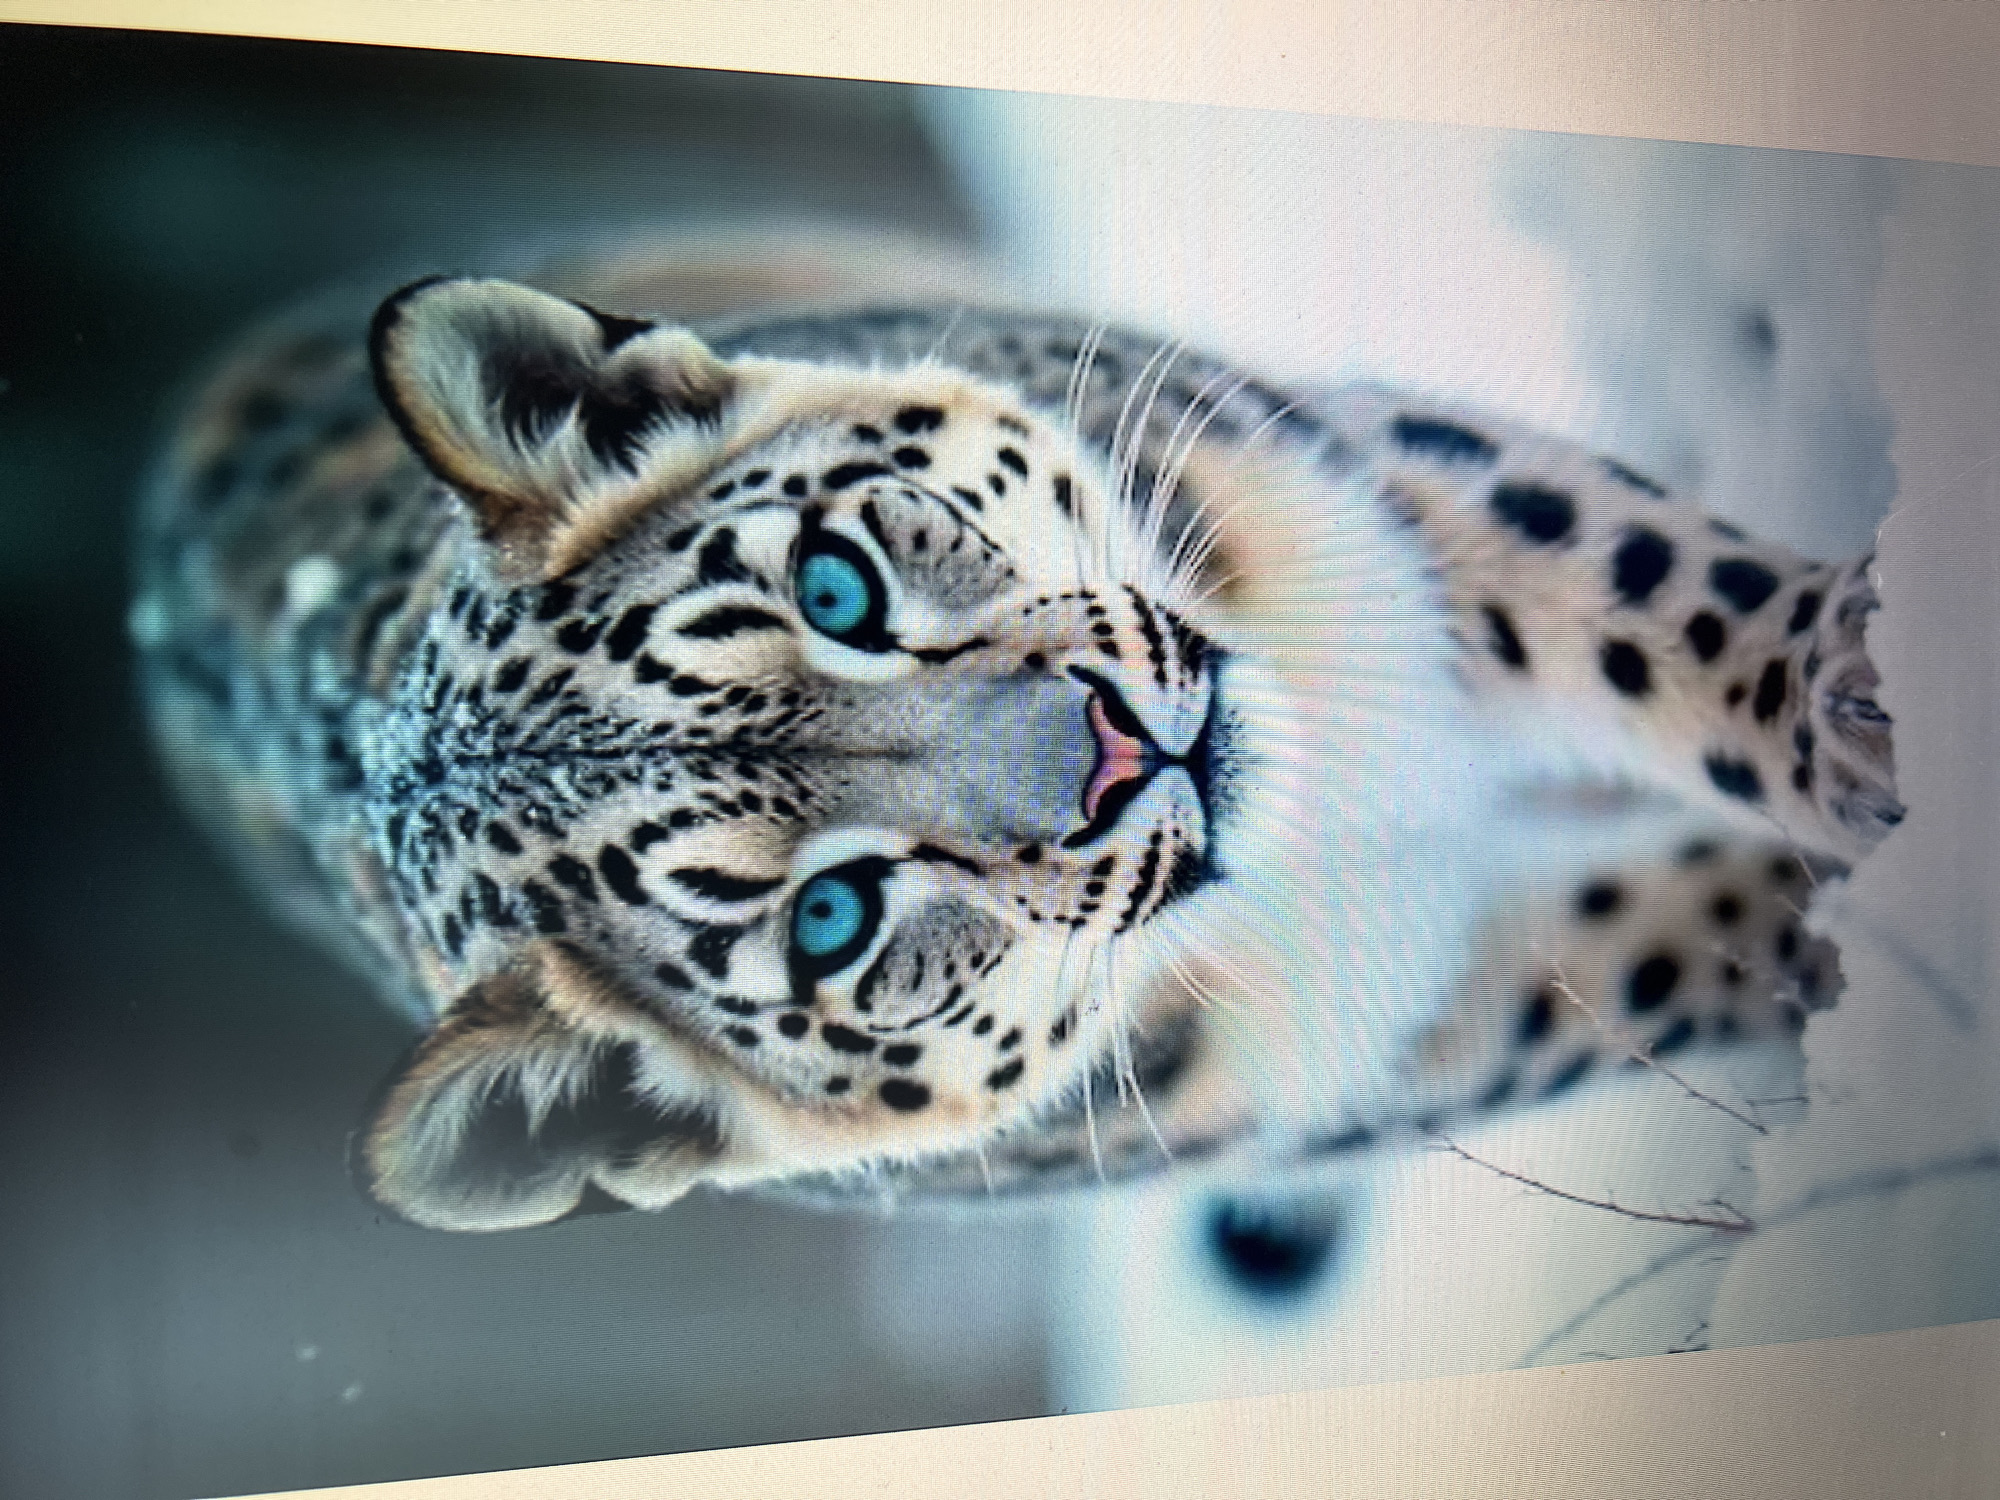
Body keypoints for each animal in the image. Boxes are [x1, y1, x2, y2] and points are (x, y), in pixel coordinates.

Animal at [129, 249, 1901, 1233]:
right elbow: (1660, 960)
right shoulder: (1384, 1016)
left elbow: (1639, 576)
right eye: (829, 921)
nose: (1124, 751)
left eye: (835, 581)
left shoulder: (1348, 479)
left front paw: (1851, 697)